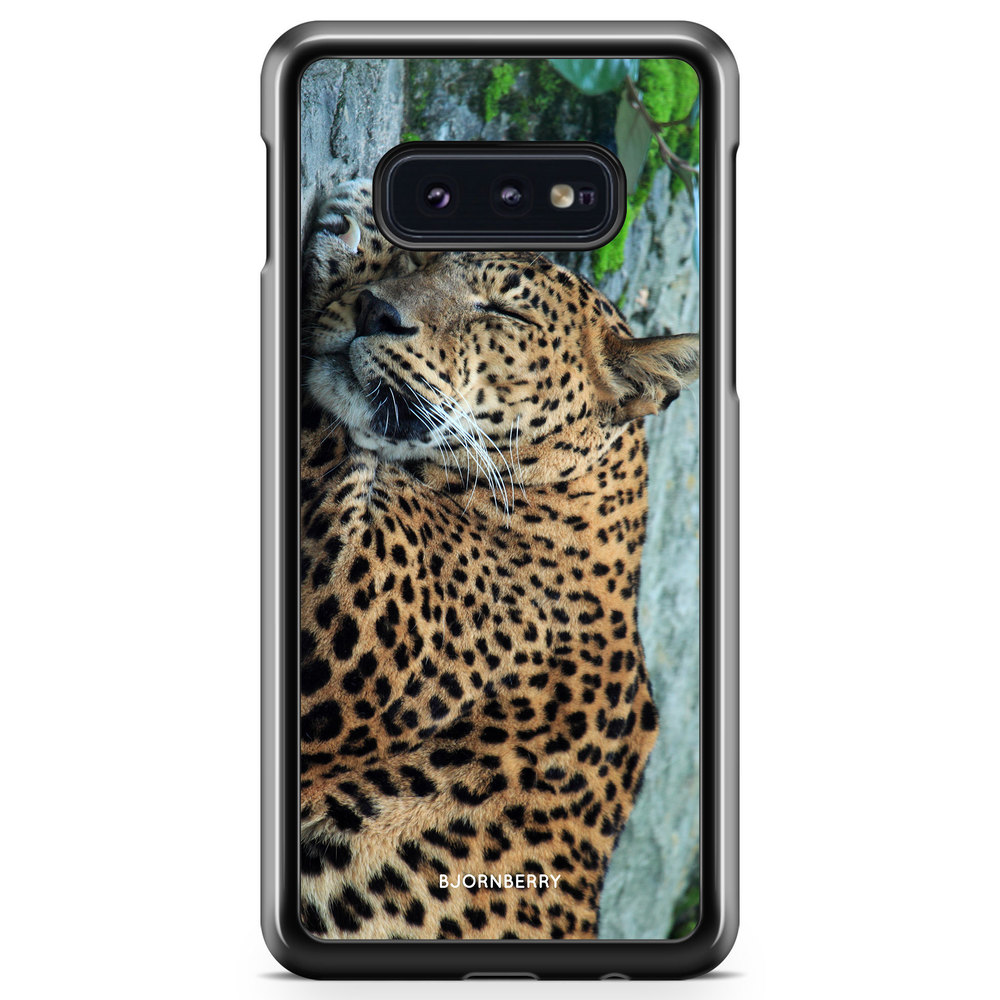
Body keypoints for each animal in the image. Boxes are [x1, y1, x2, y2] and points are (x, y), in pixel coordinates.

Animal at [298, 180, 699, 940]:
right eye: (429, 261)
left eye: (503, 311)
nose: (376, 311)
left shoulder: (349, 606)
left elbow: (322, 431)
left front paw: (352, 233)